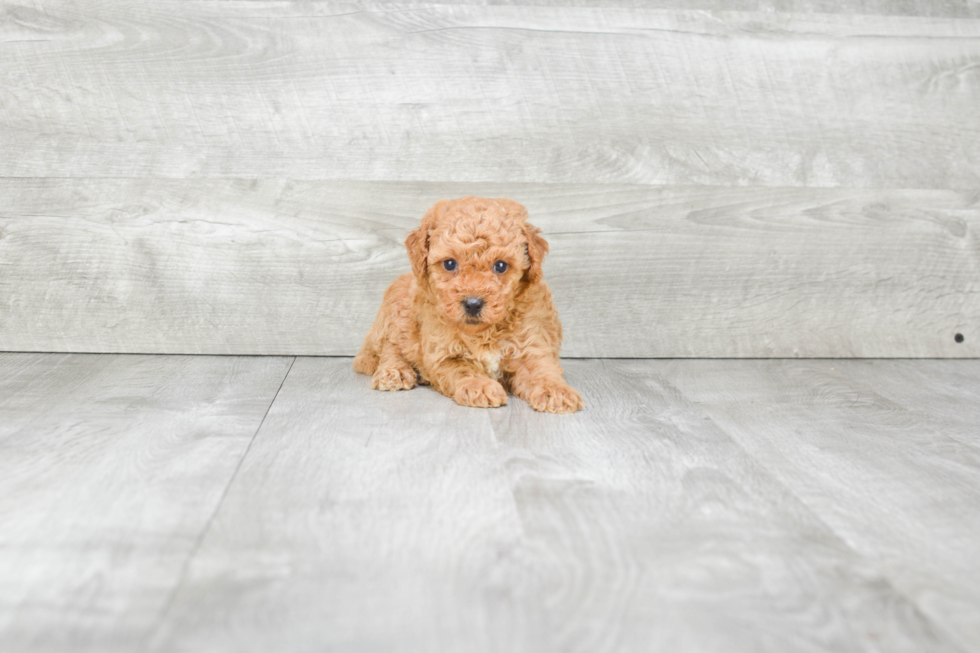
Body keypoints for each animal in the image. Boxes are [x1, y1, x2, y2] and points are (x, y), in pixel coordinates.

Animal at [352, 195, 580, 412]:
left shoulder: (532, 346)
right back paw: (394, 372)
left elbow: (542, 371)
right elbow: (462, 369)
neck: (484, 332)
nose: (473, 303)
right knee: (390, 347)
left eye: (500, 266)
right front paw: (480, 386)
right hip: (399, 310)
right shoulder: (443, 354)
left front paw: (556, 392)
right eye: (450, 263)